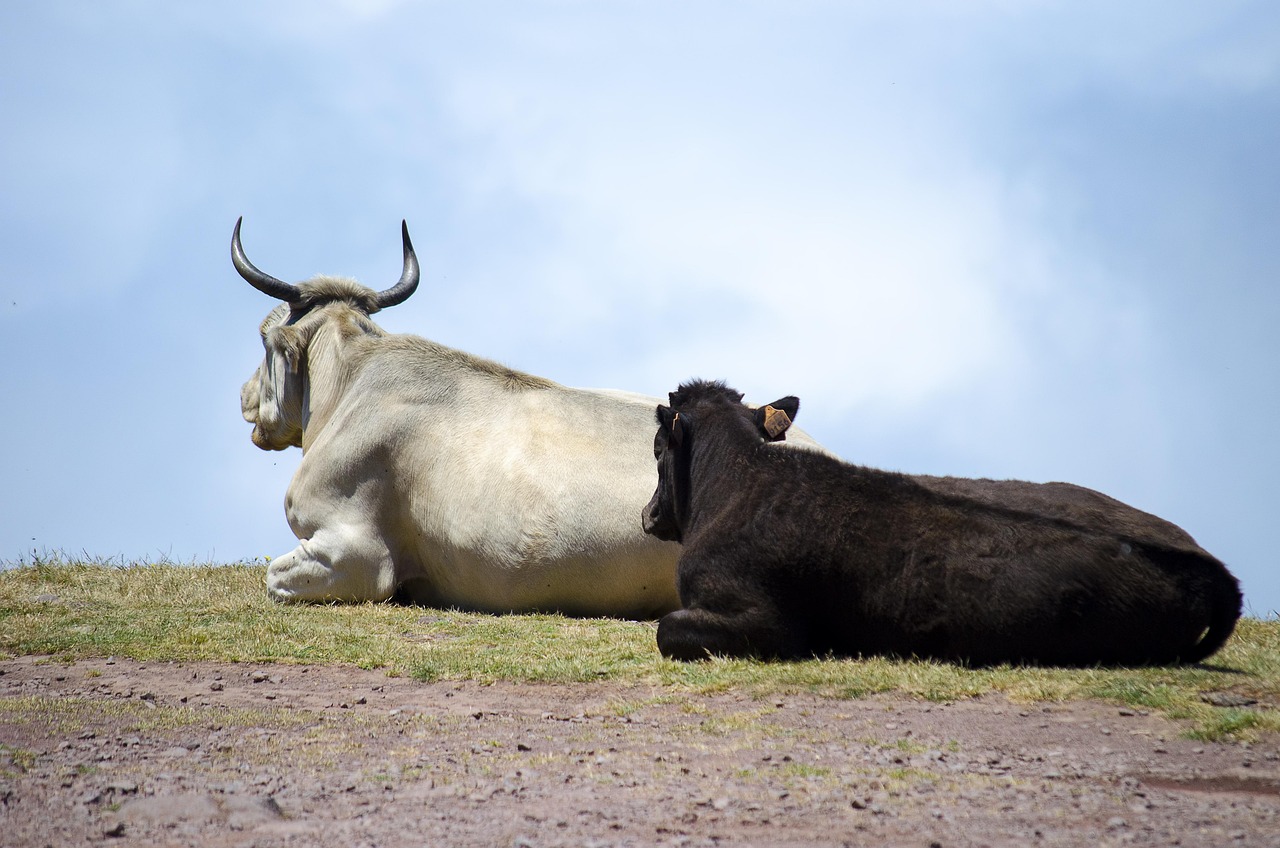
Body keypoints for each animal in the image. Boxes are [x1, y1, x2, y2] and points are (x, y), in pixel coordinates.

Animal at [642, 379, 1242, 666]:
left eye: (656, 447)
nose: (647, 514)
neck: (735, 483)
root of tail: (1209, 568)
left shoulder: (764, 620)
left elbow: (667, 628)